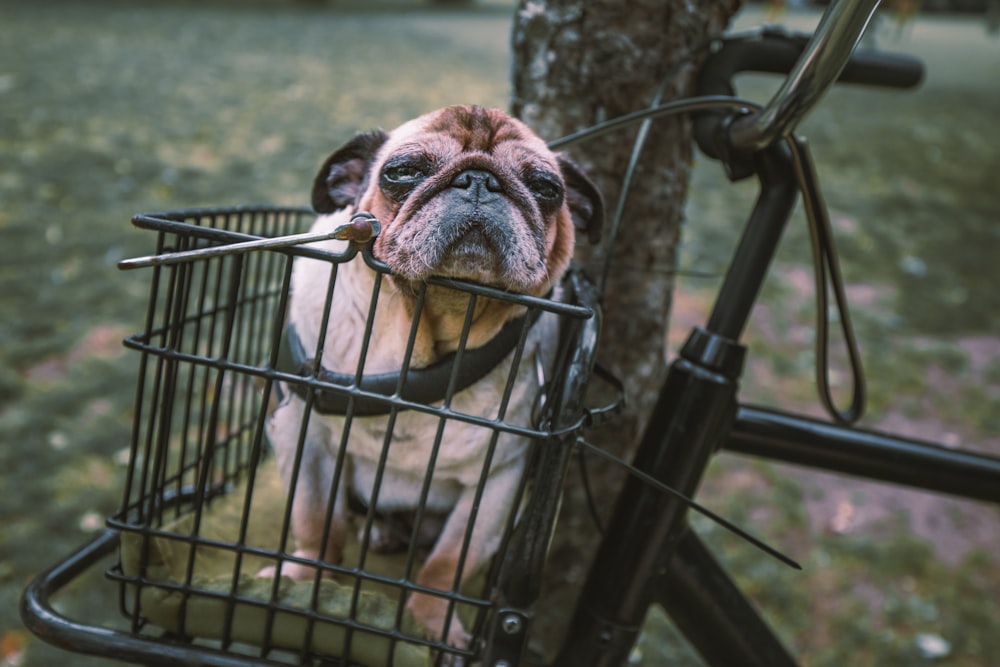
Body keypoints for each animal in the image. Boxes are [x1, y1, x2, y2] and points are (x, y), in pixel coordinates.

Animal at [262, 104, 600, 664]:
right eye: (402, 172)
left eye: (545, 188)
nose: (480, 180)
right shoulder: (301, 436)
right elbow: (314, 521)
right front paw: (301, 579)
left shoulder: (497, 481)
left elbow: (447, 564)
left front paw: (431, 625)